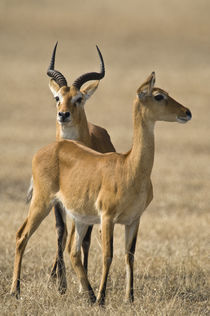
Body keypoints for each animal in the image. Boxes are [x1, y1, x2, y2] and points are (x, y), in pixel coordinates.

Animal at [10, 71, 192, 304]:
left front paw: (129, 298)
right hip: (42, 203)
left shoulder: (134, 219)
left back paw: (88, 294)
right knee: (22, 235)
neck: (129, 167)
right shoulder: (107, 218)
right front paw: (102, 299)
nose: (186, 112)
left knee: (73, 250)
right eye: (159, 96)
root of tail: (50, 147)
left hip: (79, 217)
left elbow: (129, 255)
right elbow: (108, 255)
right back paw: (16, 291)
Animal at [26, 42, 115, 294]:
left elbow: (83, 239)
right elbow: (60, 231)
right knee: (64, 233)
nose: (63, 114)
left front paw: (80, 284)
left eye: (79, 99)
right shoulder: (57, 200)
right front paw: (61, 283)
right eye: (57, 97)